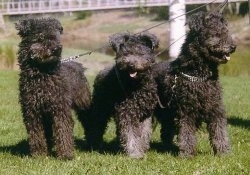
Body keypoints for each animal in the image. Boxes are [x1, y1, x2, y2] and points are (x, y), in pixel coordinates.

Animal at [15, 18, 91, 160]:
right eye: (41, 37)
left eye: (56, 36)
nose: (57, 48)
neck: (42, 75)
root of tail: (78, 64)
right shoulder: (32, 112)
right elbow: (36, 134)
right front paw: (39, 154)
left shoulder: (60, 109)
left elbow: (63, 130)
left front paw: (66, 155)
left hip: (83, 104)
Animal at [154, 10, 236, 157]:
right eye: (216, 33)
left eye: (226, 31)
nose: (233, 47)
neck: (200, 74)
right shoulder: (186, 110)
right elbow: (187, 134)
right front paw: (187, 154)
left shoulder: (216, 108)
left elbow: (220, 132)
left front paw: (224, 152)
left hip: (168, 114)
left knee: (166, 131)